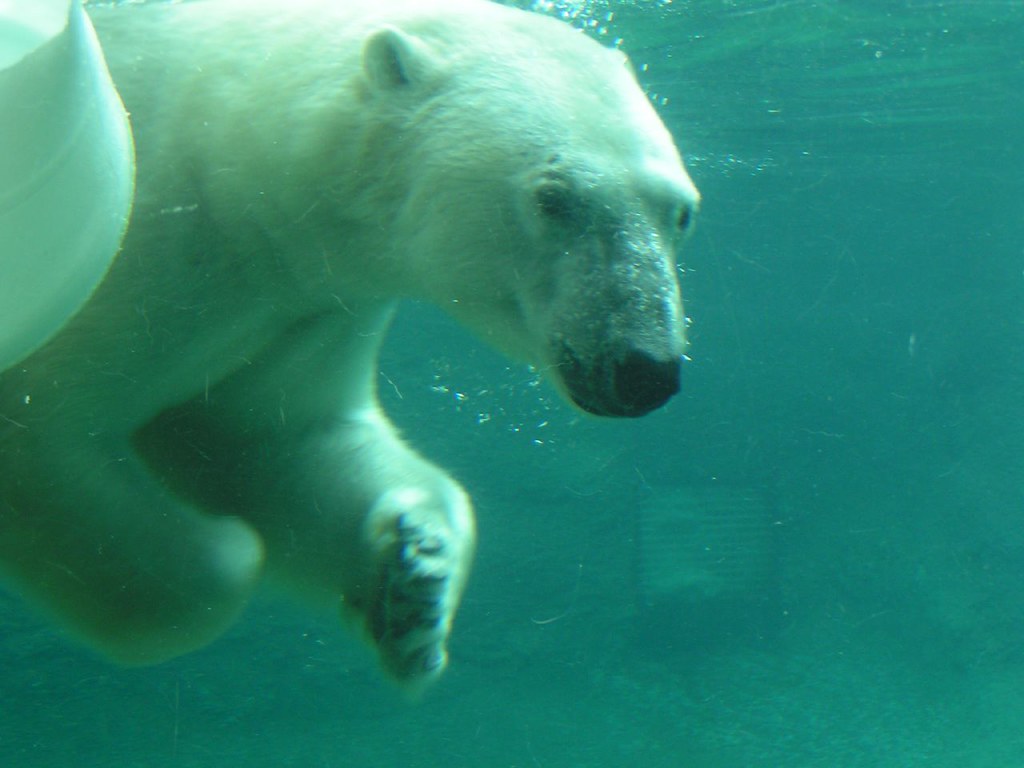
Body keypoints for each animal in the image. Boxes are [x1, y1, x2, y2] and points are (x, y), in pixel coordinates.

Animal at [0, 0, 699, 691]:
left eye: (682, 210)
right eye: (553, 198)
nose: (645, 369)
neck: (227, 156)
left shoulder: (304, 304)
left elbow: (274, 442)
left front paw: (414, 576)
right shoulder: (143, 255)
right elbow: (48, 436)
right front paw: (231, 546)